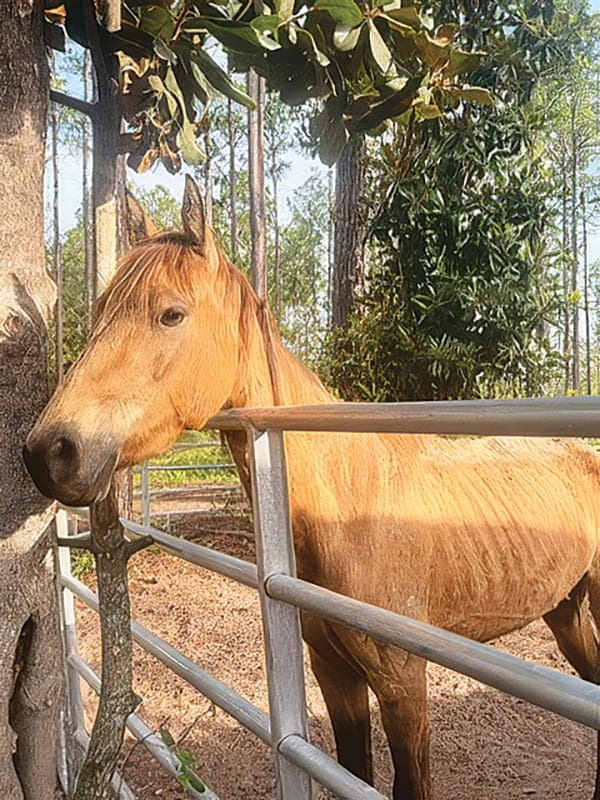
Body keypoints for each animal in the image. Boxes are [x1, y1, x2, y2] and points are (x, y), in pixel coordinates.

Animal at [24, 176, 600, 800]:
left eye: (171, 314)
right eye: (102, 309)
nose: (49, 452)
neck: (349, 506)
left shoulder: (403, 684)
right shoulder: (334, 672)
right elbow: (353, 770)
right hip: (566, 612)